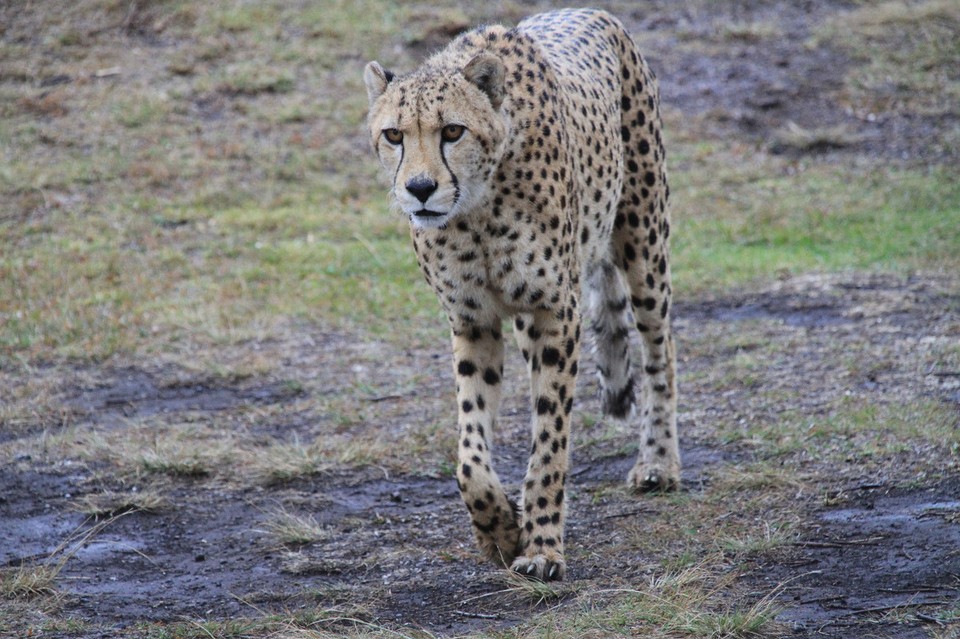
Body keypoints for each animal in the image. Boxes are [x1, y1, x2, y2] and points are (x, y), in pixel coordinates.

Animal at [364, 7, 680, 584]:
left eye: (452, 130)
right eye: (393, 134)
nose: (419, 189)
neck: (476, 210)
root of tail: (594, 12)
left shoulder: (553, 310)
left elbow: (549, 439)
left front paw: (543, 545)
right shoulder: (473, 320)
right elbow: (469, 454)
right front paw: (500, 530)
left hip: (644, 242)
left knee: (659, 349)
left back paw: (658, 464)